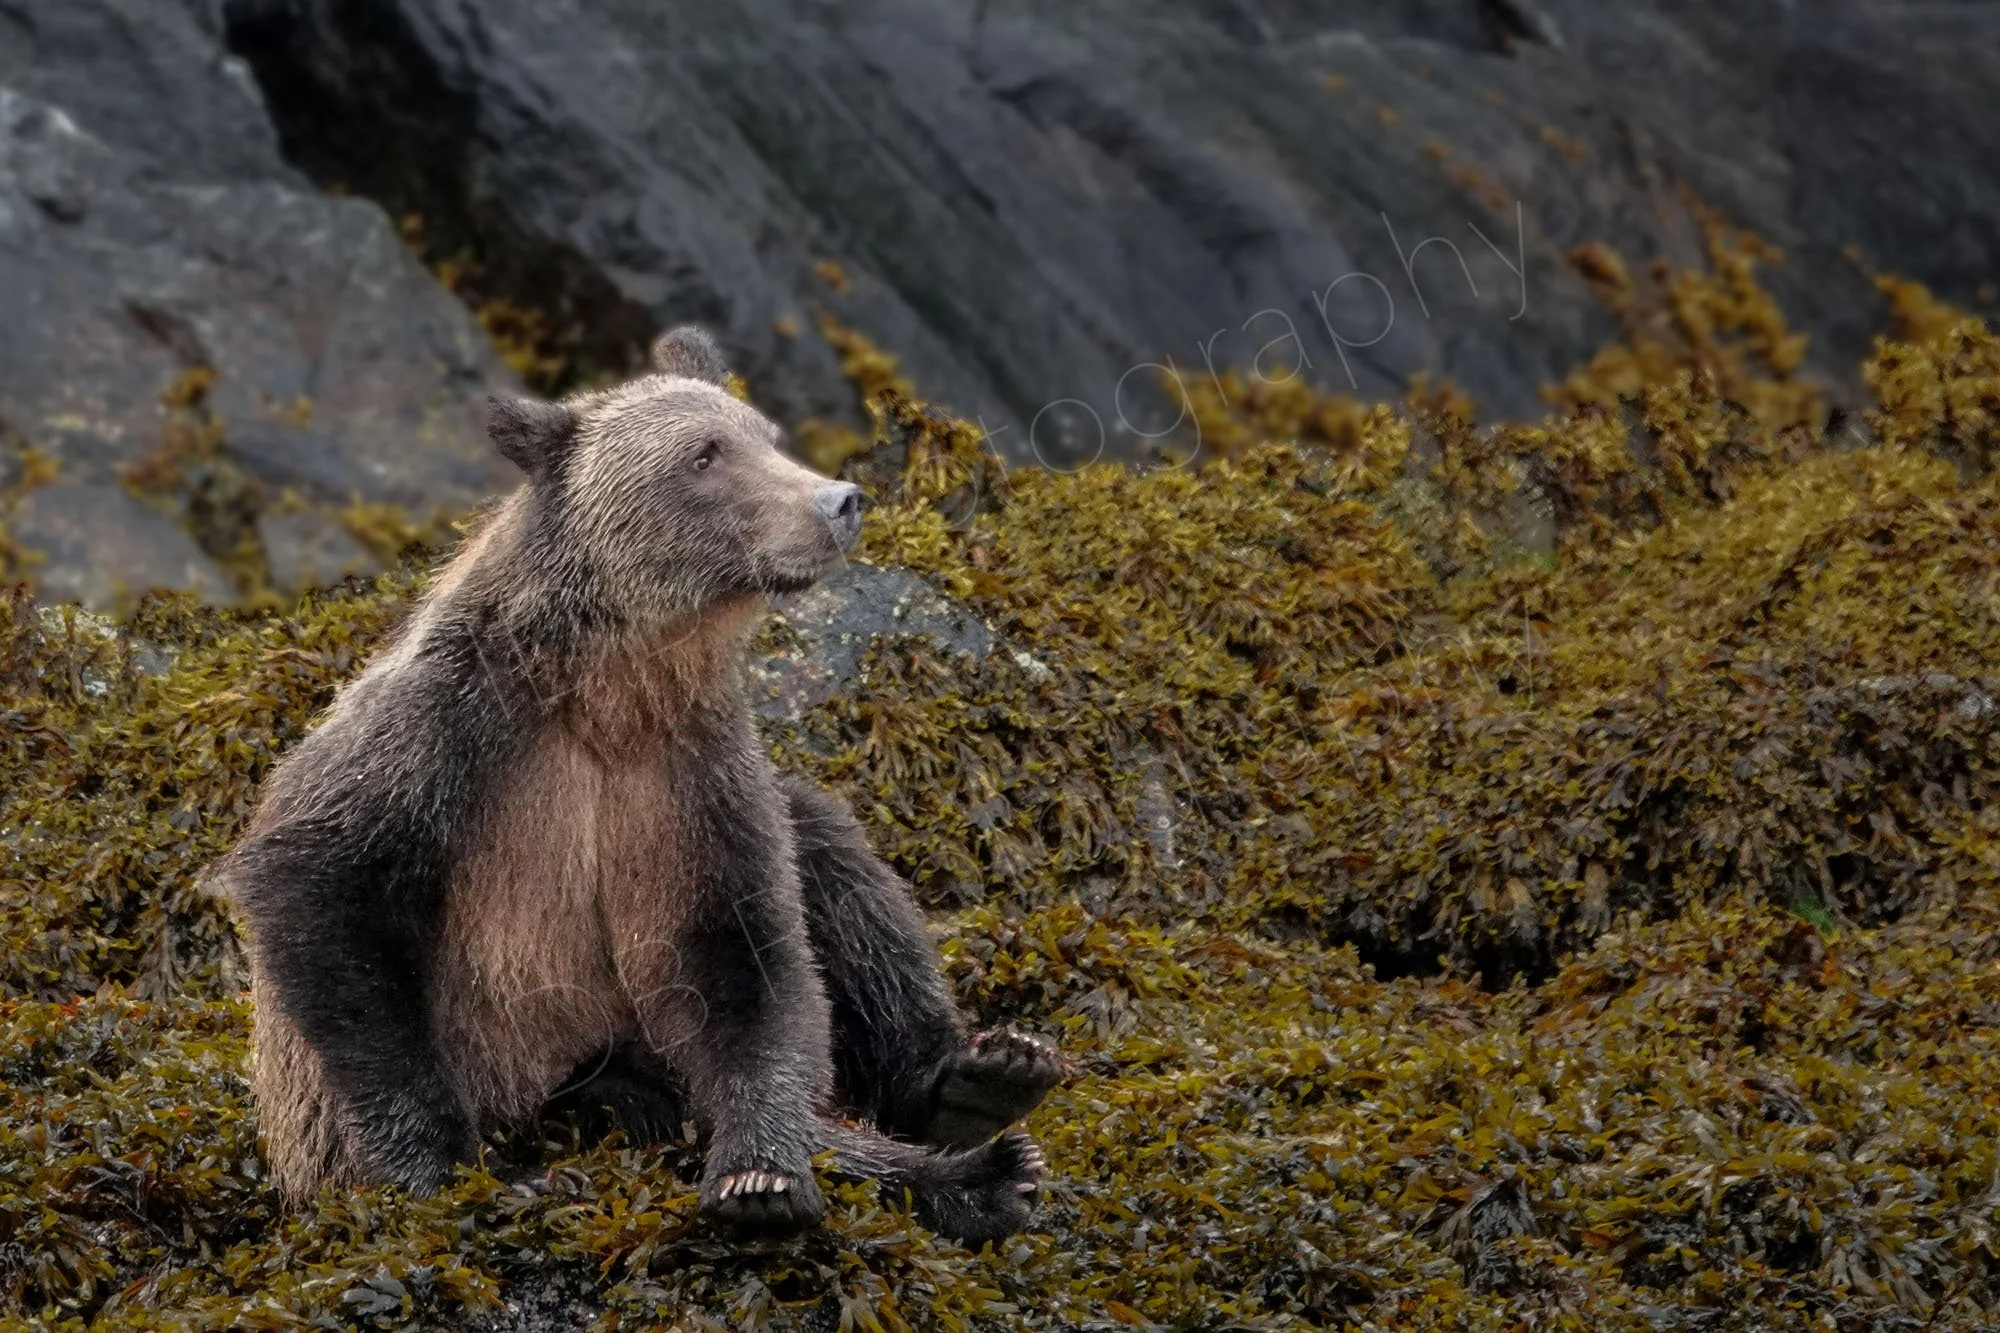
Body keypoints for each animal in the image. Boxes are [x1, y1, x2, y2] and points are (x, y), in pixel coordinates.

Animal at [216, 326, 1062, 1244]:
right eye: (704, 454)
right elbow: (326, 890)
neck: (612, 686)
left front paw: (762, 1171)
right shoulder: (448, 729)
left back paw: (985, 1096)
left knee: (836, 862)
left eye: (765, 433)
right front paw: (451, 1172)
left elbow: (748, 949)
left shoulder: (690, 767)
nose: (840, 500)